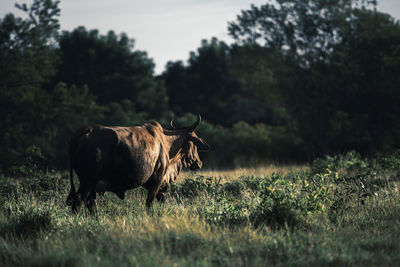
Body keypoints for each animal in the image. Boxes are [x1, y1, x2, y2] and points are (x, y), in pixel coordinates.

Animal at [65, 115, 209, 214]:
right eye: (194, 144)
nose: (199, 162)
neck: (167, 142)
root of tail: (85, 131)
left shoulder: (152, 183)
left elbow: (161, 199)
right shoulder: (157, 179)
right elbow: (149, 203)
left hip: (90, 186)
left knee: (91, 204)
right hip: (87, 182)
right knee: (78, 201)